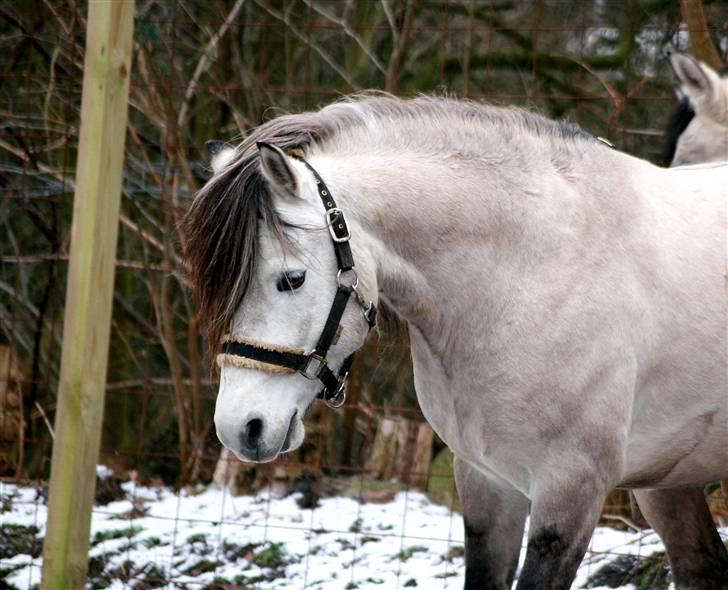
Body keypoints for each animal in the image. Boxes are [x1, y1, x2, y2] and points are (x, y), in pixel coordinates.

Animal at [182, 95, 728, 588]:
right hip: (667, 483)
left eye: (291, 279)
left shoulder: (571, 491)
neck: (532, 268)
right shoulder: (487, 483)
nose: (240, 428)